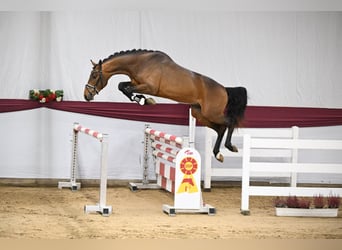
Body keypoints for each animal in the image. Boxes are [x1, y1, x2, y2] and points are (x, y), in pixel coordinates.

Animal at [84, 48, 247, 162]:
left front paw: (143, 100)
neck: (141, 63)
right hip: (200, 114)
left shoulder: (149, 87)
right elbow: (122, 86)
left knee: (229, 122)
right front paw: (144, 100)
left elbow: (126, 88)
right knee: (220, 129)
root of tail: (224, 89)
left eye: (94, 75)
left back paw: (230, 146)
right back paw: (217, 154)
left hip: (212, 113)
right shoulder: (136, 83)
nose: (86, 95)